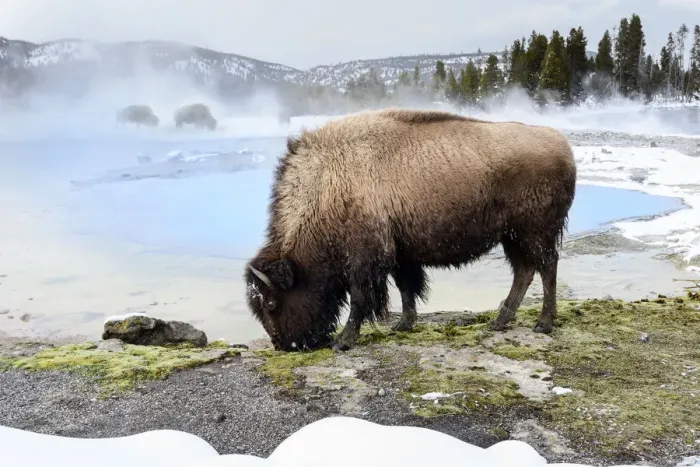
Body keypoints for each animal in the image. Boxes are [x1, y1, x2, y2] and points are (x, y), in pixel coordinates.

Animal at [244, 108, 577, 352]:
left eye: (271, 303)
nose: (285, 346)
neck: (325, 186)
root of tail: (562, 145)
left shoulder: (364, 259)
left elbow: (361, 298)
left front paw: (344, 341)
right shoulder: (399, 254)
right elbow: (406, 288)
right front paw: (403, 324)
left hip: (534, 233)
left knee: (547, 267)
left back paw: (543, 323)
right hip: (512, 237)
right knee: (525, 271)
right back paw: (500, 321)